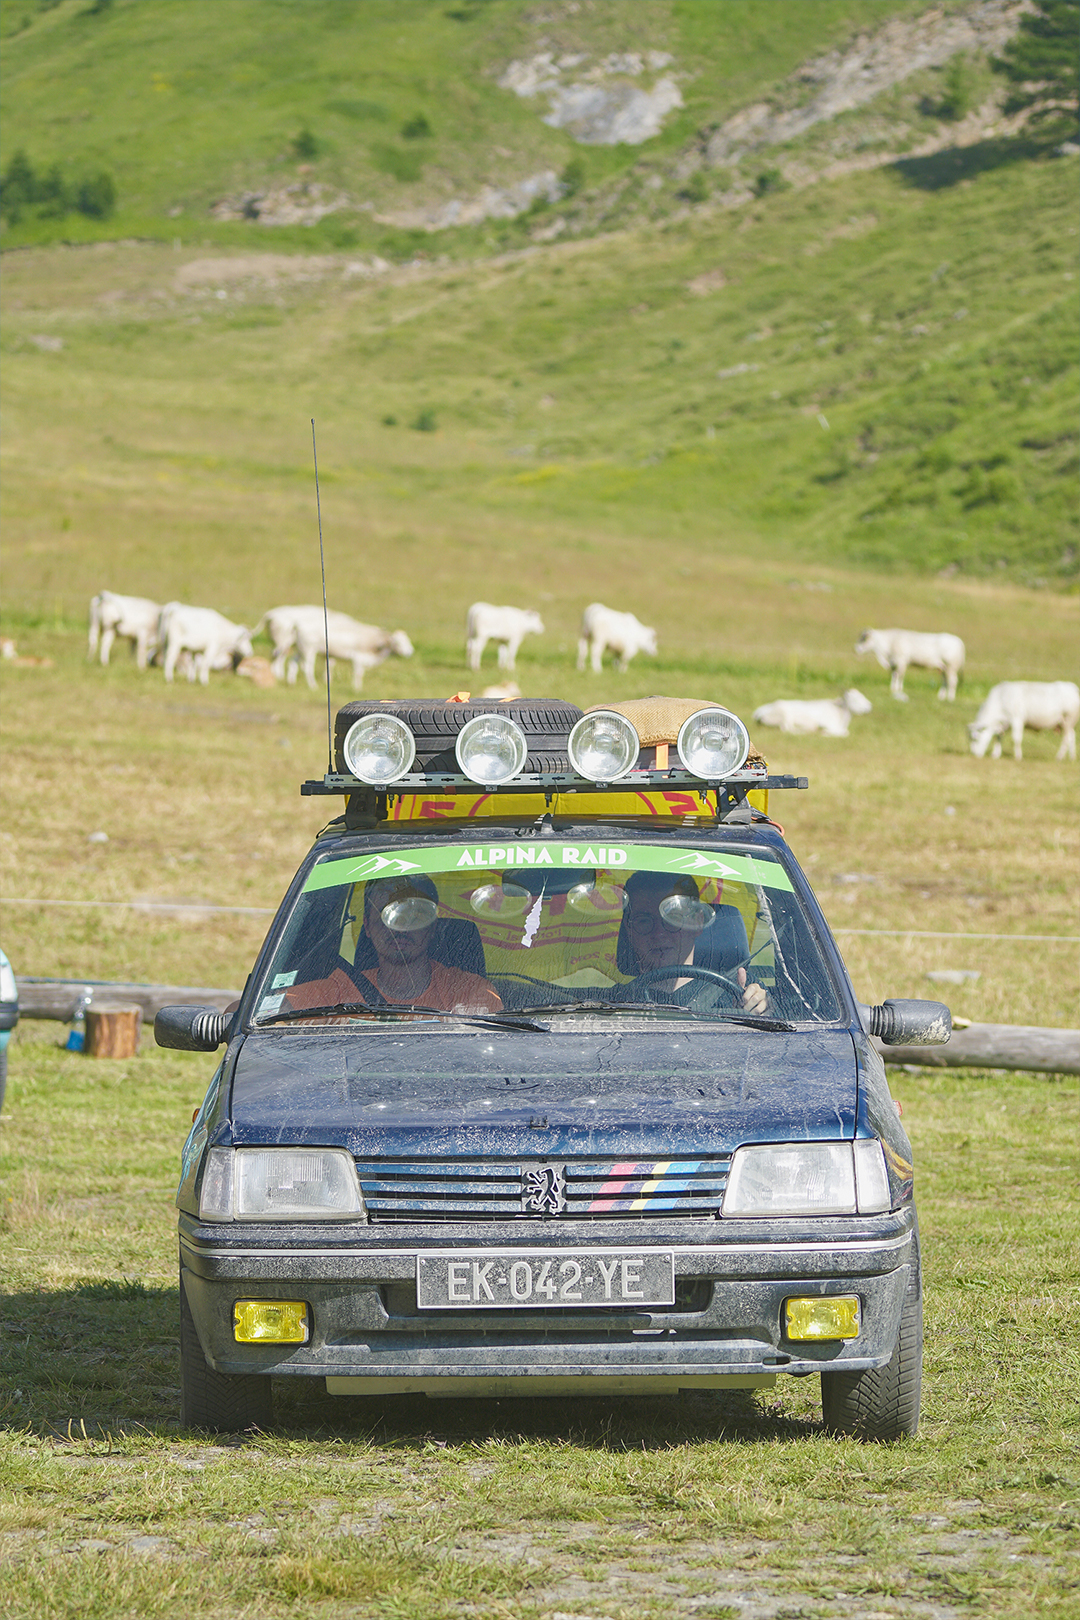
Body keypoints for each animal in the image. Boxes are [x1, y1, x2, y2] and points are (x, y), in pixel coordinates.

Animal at [257, 605, 414, 686]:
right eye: (398, 642)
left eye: (408, 640)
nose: (409, 653)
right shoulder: (358, 658)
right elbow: (358, 674)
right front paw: (356, 688)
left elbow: (331, 666)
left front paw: (329, 680)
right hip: (300, 647)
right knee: (302, 665)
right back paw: (311, 685)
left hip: (300, 648)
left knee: (291, 661)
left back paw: (291, 680)